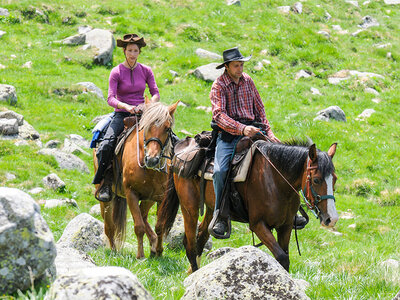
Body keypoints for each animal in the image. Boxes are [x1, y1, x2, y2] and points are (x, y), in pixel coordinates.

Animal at [94, 101, 178, 260]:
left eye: (167, 128)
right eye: (146, 126)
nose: (152, 159)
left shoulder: (160, 197)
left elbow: (159, 226)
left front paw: (159, 251)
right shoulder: (131, 193)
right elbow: (138, 227)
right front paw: (140, 256)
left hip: (148, 198)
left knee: (143, 216)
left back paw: (153, 244)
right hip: (105, 196)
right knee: (110, 226)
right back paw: (113, 250)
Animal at [156, 139, 338, 274]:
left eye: (334, 179)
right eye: (316, 180)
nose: (332, 219)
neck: (275, 181)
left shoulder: (285, 226)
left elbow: (285, 256)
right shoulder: (258, 224)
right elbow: (282, 257)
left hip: (211, 208)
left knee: (201, 237)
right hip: (190, 207)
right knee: (190, 244)